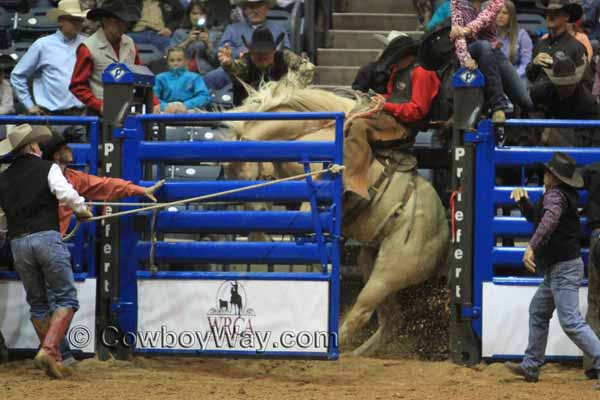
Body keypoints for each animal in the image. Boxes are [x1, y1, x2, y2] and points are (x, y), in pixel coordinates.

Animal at [226, 76, 450, 354]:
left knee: (361, 313)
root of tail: (444, 236)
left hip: (389, 273)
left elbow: (307, 206)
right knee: (391, 320)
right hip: (371, 260)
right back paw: (356, 353)